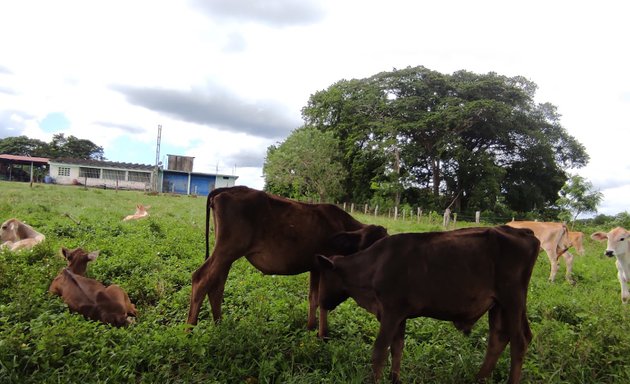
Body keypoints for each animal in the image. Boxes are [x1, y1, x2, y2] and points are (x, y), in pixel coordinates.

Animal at [185, 186, 388, 336]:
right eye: (369, 248)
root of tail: (228, 189)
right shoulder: (327, 268)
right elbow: (322, 300)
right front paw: (323, 335)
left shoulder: (316, 267)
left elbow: (313, 298)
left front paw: (310, 328)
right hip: (227, 250)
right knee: (201, 279)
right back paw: (189, 331)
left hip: (226, 253)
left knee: (217, 285)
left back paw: (220, 325)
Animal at [318, 225, 540, 384]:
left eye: (324, 276)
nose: (322, 301)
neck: (375, 265)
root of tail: (523, 231)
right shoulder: (400, 316)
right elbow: (397, 347)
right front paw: (395, 379)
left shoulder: (390, 312)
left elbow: (379, 351)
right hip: (500, 305)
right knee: (499, 338)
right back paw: (479, 378)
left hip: (512, 300)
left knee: (519, 341)